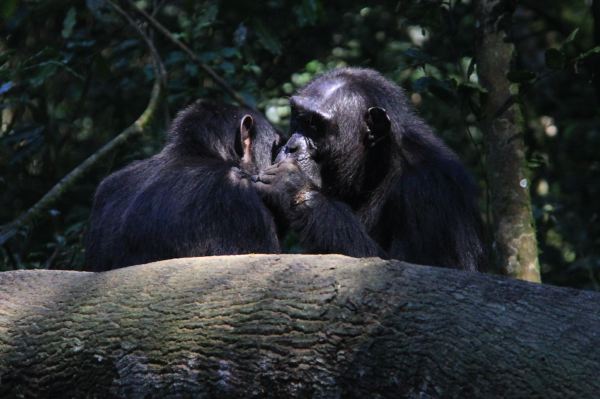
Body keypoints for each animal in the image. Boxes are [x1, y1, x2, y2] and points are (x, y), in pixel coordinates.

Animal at [253, 68, 488, 272]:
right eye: (298, 118)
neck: (376, 168)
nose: (291, 146)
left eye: (314, 124)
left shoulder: (431, 192)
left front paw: (292, 186)